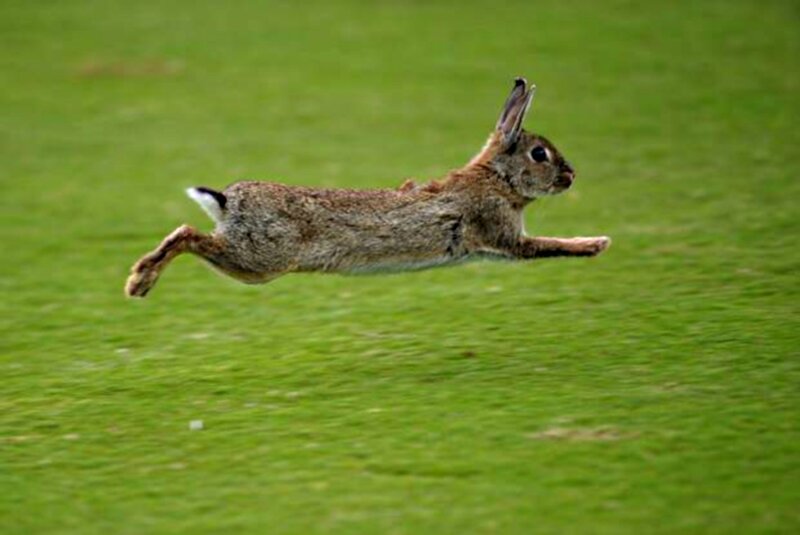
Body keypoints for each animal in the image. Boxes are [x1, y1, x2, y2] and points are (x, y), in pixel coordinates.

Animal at [125, 77, 610, 298]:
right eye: (540, 154)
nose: (571, 176)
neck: (497, 178)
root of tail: (228, 202)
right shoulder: (502, 234)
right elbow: (548, 246)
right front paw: (597, 244)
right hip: (260, 260)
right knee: (190, 235)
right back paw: (139, 282)